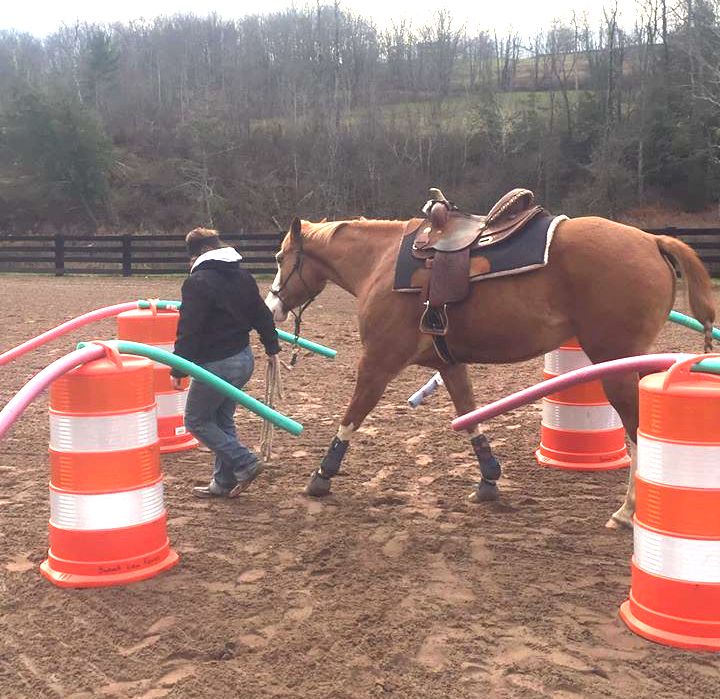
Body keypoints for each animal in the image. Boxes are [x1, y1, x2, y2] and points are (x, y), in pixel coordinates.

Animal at [264, 216, 716, 528]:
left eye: (281, 258)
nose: (271, 309)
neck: (381, 263)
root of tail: (651, 239)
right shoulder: (448, 365)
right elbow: (469, 418)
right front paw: (488, 481)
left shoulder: (378, 361)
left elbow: (351, 417)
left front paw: (321, 476)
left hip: (617, 366)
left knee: (638, 429)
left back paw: (627, 510)